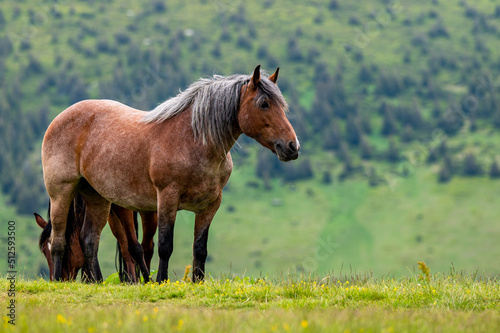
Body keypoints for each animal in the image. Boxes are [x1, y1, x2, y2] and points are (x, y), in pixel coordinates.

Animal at [43, 65, 298, 282]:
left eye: (282, 105)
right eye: (264, 103)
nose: (292, 146)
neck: (193, 141)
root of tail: (59, 118)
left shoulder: (210, 205)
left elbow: (200, 248)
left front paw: (198, 283)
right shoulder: (167, 198)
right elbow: (165, 245)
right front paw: (161, 281)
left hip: (98, 198)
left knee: (88, 240)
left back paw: (97, 282)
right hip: (61, 193)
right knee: (58, 240)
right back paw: (57, 281)